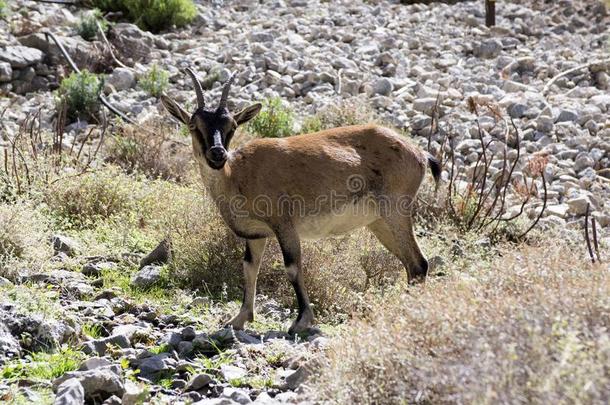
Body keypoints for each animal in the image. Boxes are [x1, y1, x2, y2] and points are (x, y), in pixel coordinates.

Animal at [160, 69, 436, 332]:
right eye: (194, 125)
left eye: (232, 126)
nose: (218, 154)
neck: (237, 175)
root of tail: (420, 154)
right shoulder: (256, 234)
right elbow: (250, 268)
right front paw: (239, 319)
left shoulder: (284, 225)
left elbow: (292, 266)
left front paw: (301, 321)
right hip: (379, 223)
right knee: (410, 265)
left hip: (396, 211)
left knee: (419, 263)